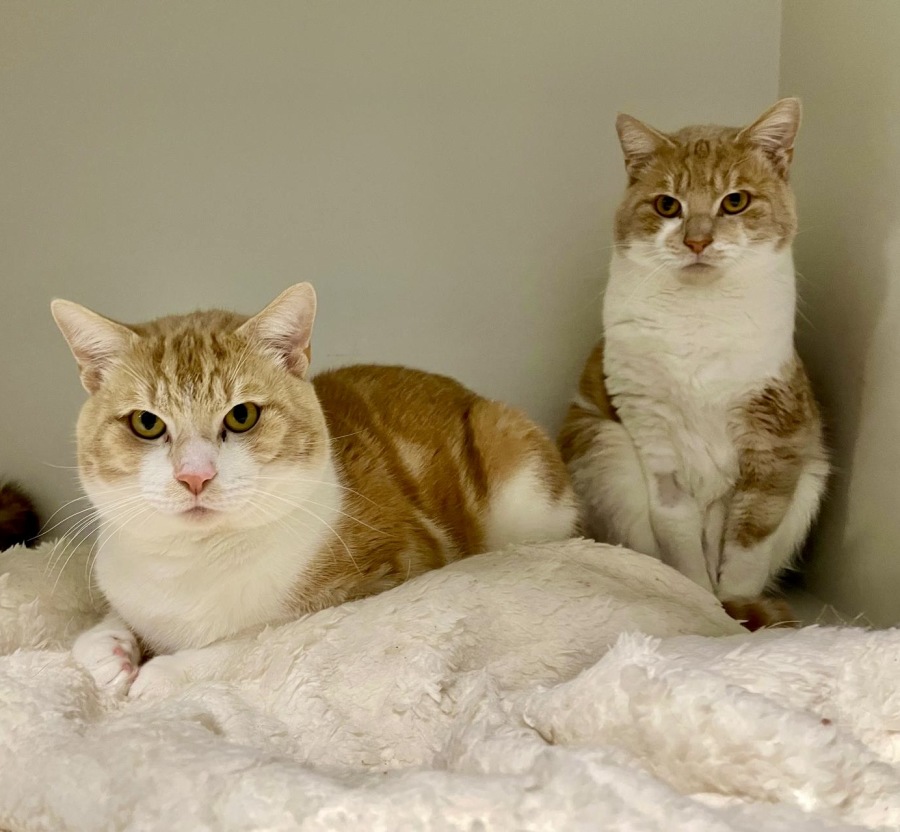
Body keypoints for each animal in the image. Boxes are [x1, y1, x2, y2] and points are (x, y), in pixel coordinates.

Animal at [51, 283, 578, 691]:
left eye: (242, 416)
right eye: (146, 423)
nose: (194, 475)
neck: (191, 567)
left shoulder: (381, 575)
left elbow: (247, 640)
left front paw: (165, 672)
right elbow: (116, 623)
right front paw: (108, 645)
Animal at [558, 99, 829, 629]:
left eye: (734, 201)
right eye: (668, 205)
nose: (698, 240)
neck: (698, 320)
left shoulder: (775, 438)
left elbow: (747, 543)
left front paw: (735, 609)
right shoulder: (653, 439)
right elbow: (680, 539)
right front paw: (703, 607)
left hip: (811, 475)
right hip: (606, 449)